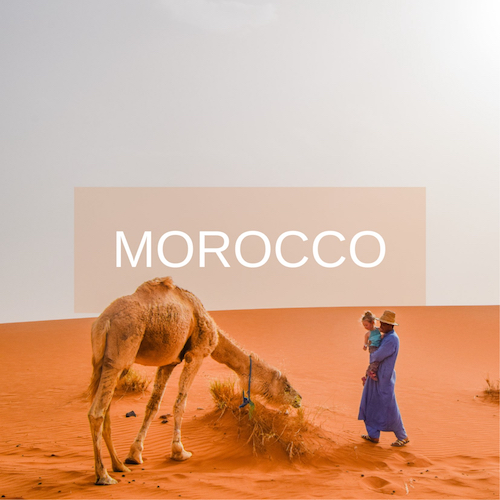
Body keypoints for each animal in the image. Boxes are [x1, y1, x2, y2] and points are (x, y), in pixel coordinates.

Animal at [88, 278, 302, 484]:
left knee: (105, 411)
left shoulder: (168, 362)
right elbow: (180, 403)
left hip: (102, 362)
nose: (299, 398)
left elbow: (152, 405)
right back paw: (104, 476)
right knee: (96, 412)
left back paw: (119, 466)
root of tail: (104, 320)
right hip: (120, 353)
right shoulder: (196, 354)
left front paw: (134, 454)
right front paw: (180, 452)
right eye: (286, 387)